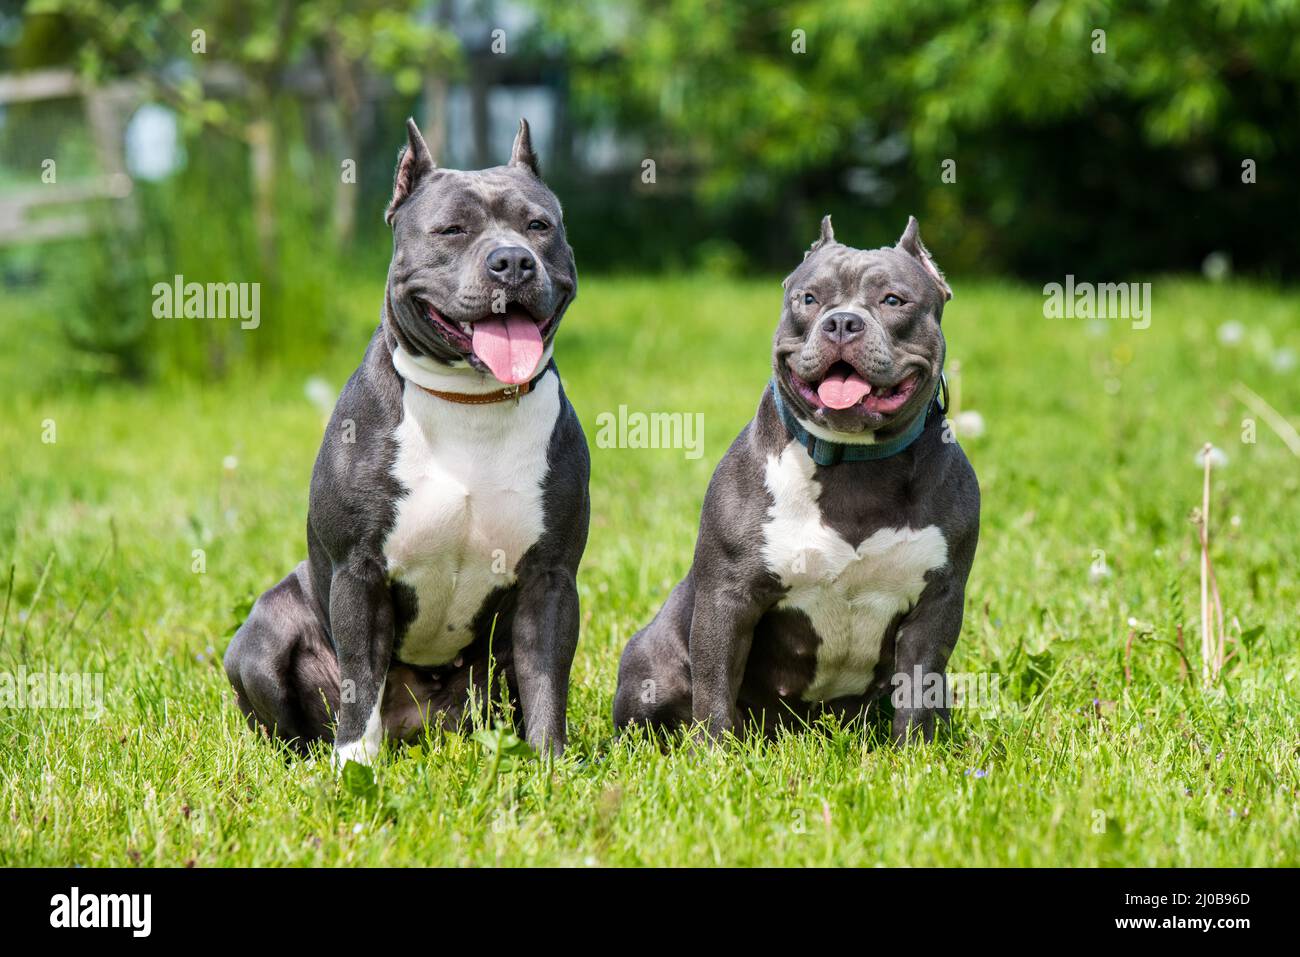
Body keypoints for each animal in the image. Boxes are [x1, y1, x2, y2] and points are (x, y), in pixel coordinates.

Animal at [224, 117, 590, 764]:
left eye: (539, 226)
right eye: (451, 230)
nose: (512, 262)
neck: (470, 402)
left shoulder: (550, 578)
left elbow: (547, 676)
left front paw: (549, 764)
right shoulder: (360, 572)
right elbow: (359, 679)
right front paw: (353, 767)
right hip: (262, 634)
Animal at [616, 218, 977, 748]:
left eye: (893, 299)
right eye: (808, 298)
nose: (842, 323)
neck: (854, 466)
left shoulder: (937, 605)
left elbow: (919, 690)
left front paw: (914, 753)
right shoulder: (727, 598)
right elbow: (714, 687)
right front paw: (714, 756)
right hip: (652, 664)